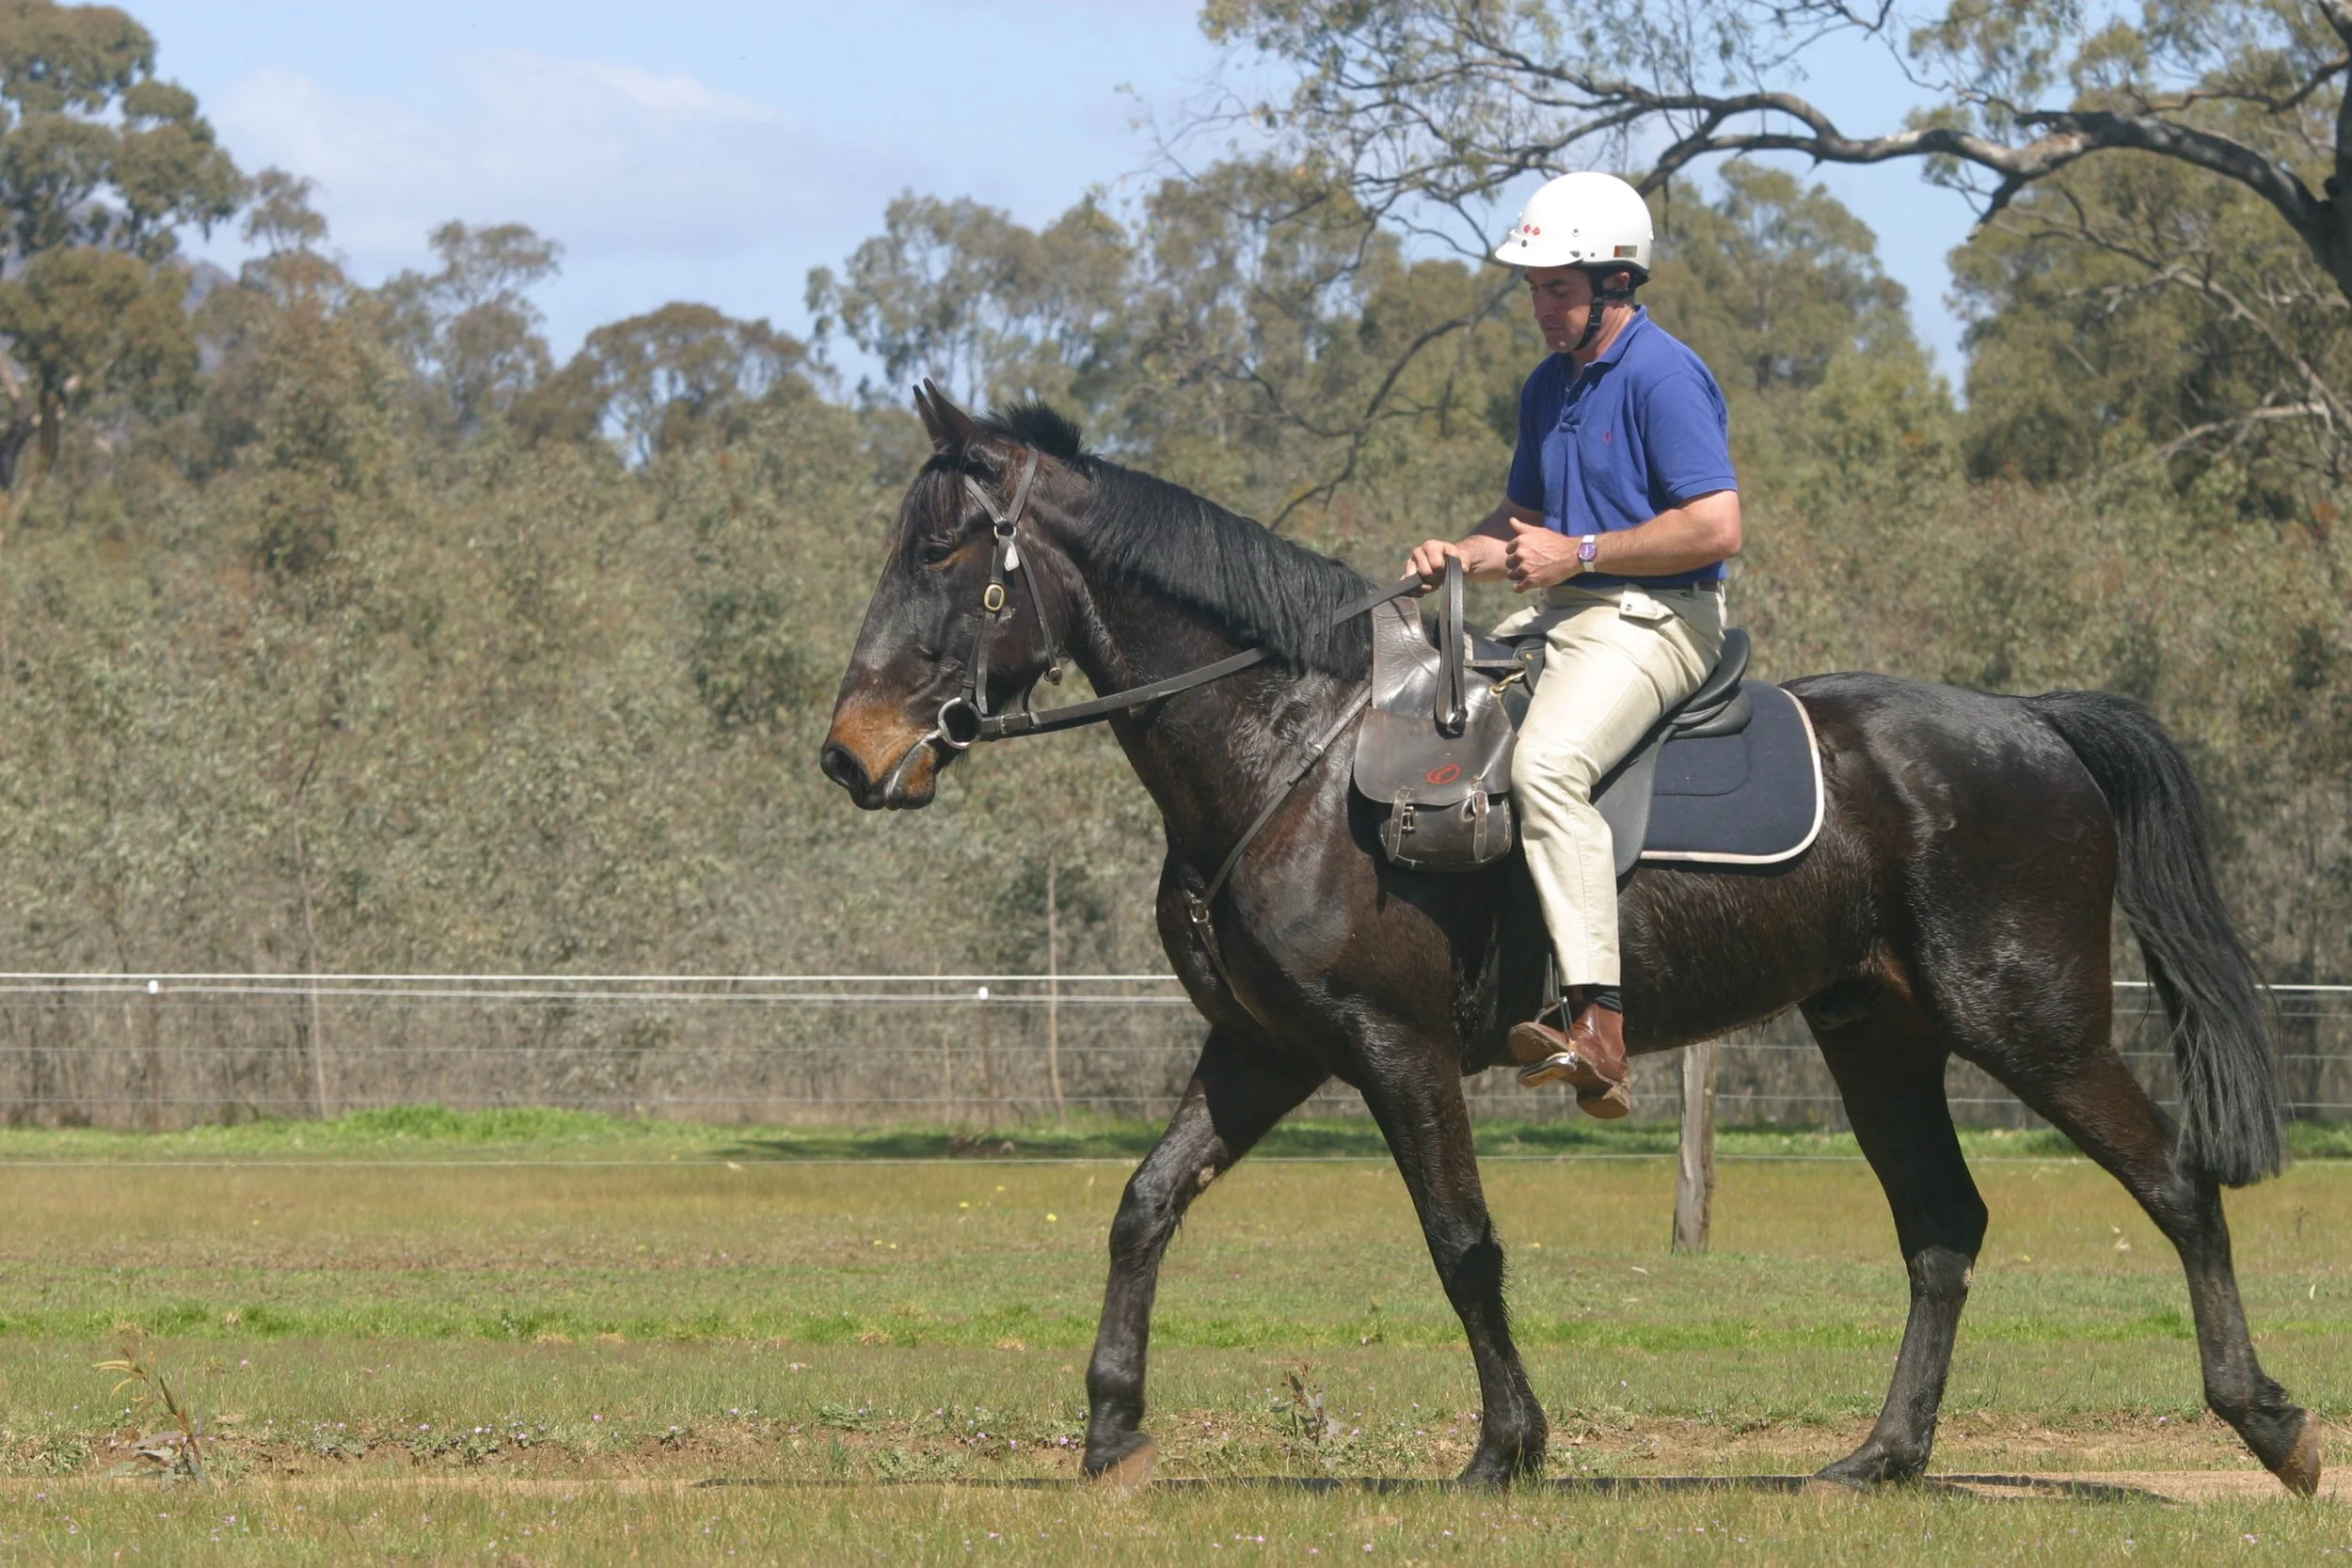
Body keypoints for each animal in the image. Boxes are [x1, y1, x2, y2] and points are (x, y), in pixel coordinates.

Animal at [819, 385, 2320, 1495]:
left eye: (943, 552)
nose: (851, 754)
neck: (1289, 748)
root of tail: (2031, 721)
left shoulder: (1391, 1045)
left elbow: (1461, 1239)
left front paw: (1508, 1446)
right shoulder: (1263, 1046)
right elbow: (1145, 1203)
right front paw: (1114, 1430)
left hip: (2028, 1019)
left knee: (2177, 1185)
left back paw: (2269, 1423)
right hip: (1879, 1035)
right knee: (1945, 1228)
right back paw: (1884, 1456)